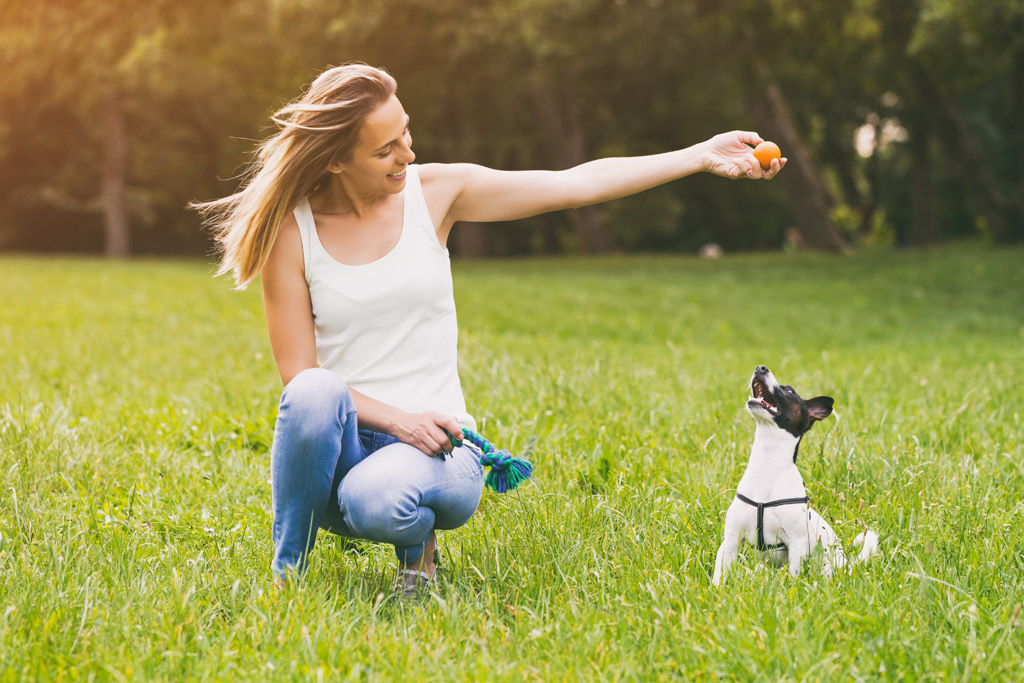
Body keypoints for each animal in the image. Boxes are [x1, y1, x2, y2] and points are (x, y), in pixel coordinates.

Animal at [712, 366, 880, 585]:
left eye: (789, 391)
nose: (760, 368)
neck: (767, 464)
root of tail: (845, 563)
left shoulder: (797, 544)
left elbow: (793, 574)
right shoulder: (731, 539)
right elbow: (719, 574)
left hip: (828, 568)